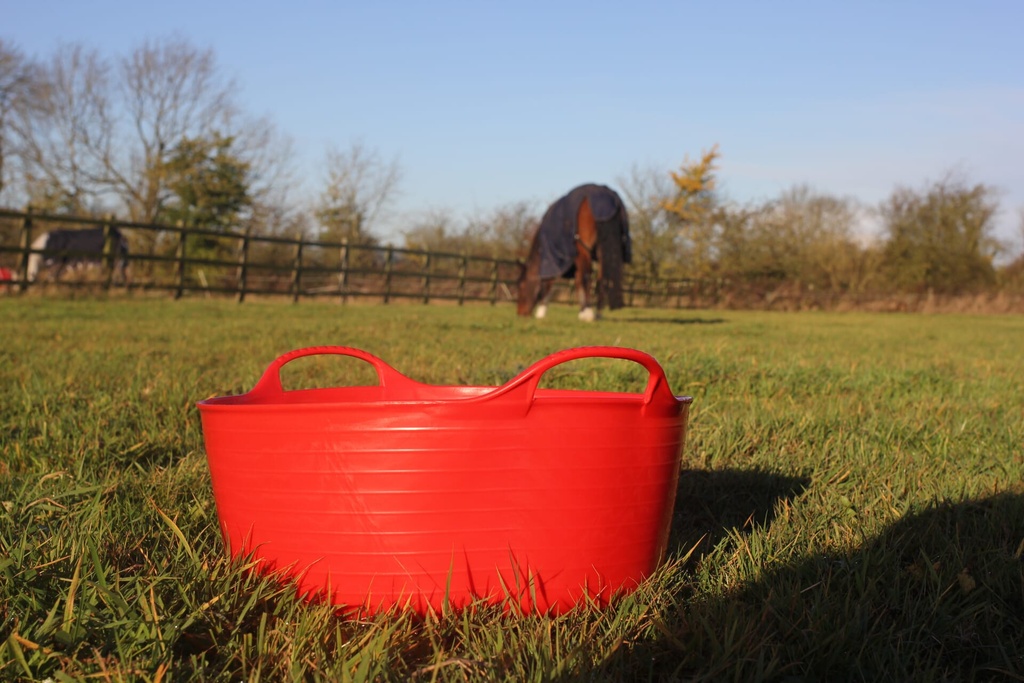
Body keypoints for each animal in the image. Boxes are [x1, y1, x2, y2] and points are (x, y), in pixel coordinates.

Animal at [520, 184, 630, 323]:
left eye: (521, 285)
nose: (520, 313)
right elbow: (577, 282)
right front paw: (581, 311)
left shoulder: (555, 259)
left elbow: (550, 283)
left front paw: (541, 312)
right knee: (601, 280)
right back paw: (597, 314)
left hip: (584, 252)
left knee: (587, 278)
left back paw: (589, 314)